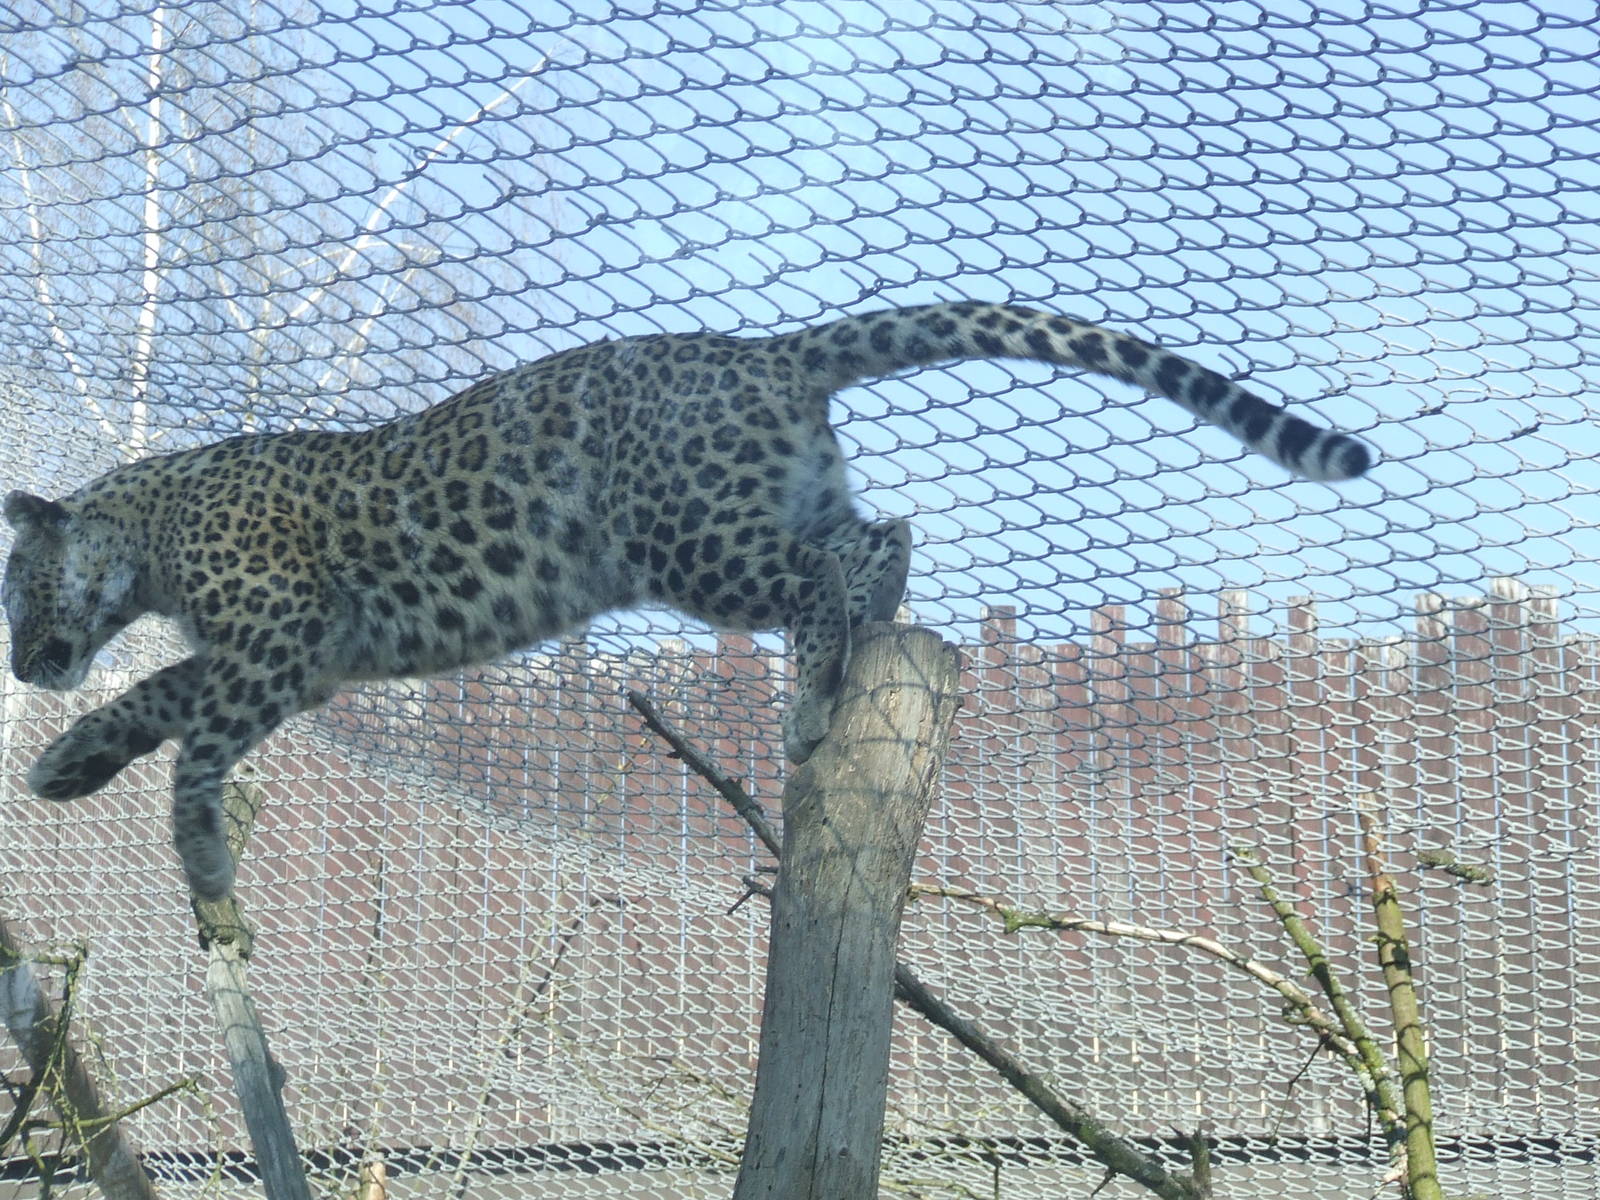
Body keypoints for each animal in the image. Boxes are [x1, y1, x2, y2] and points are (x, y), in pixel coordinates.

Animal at [2, 301, 1375, 900]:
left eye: (16, 594)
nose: (20, 666)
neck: (146, 532)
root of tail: (762, 350)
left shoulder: (283, 637)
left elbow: (199, 733)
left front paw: (195, 848)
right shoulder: (302, 658)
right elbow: (164, 696)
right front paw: (71, 762)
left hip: (686, 541)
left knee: (833, 569)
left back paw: (814, 703)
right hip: (762, 506)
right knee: (881, 532)